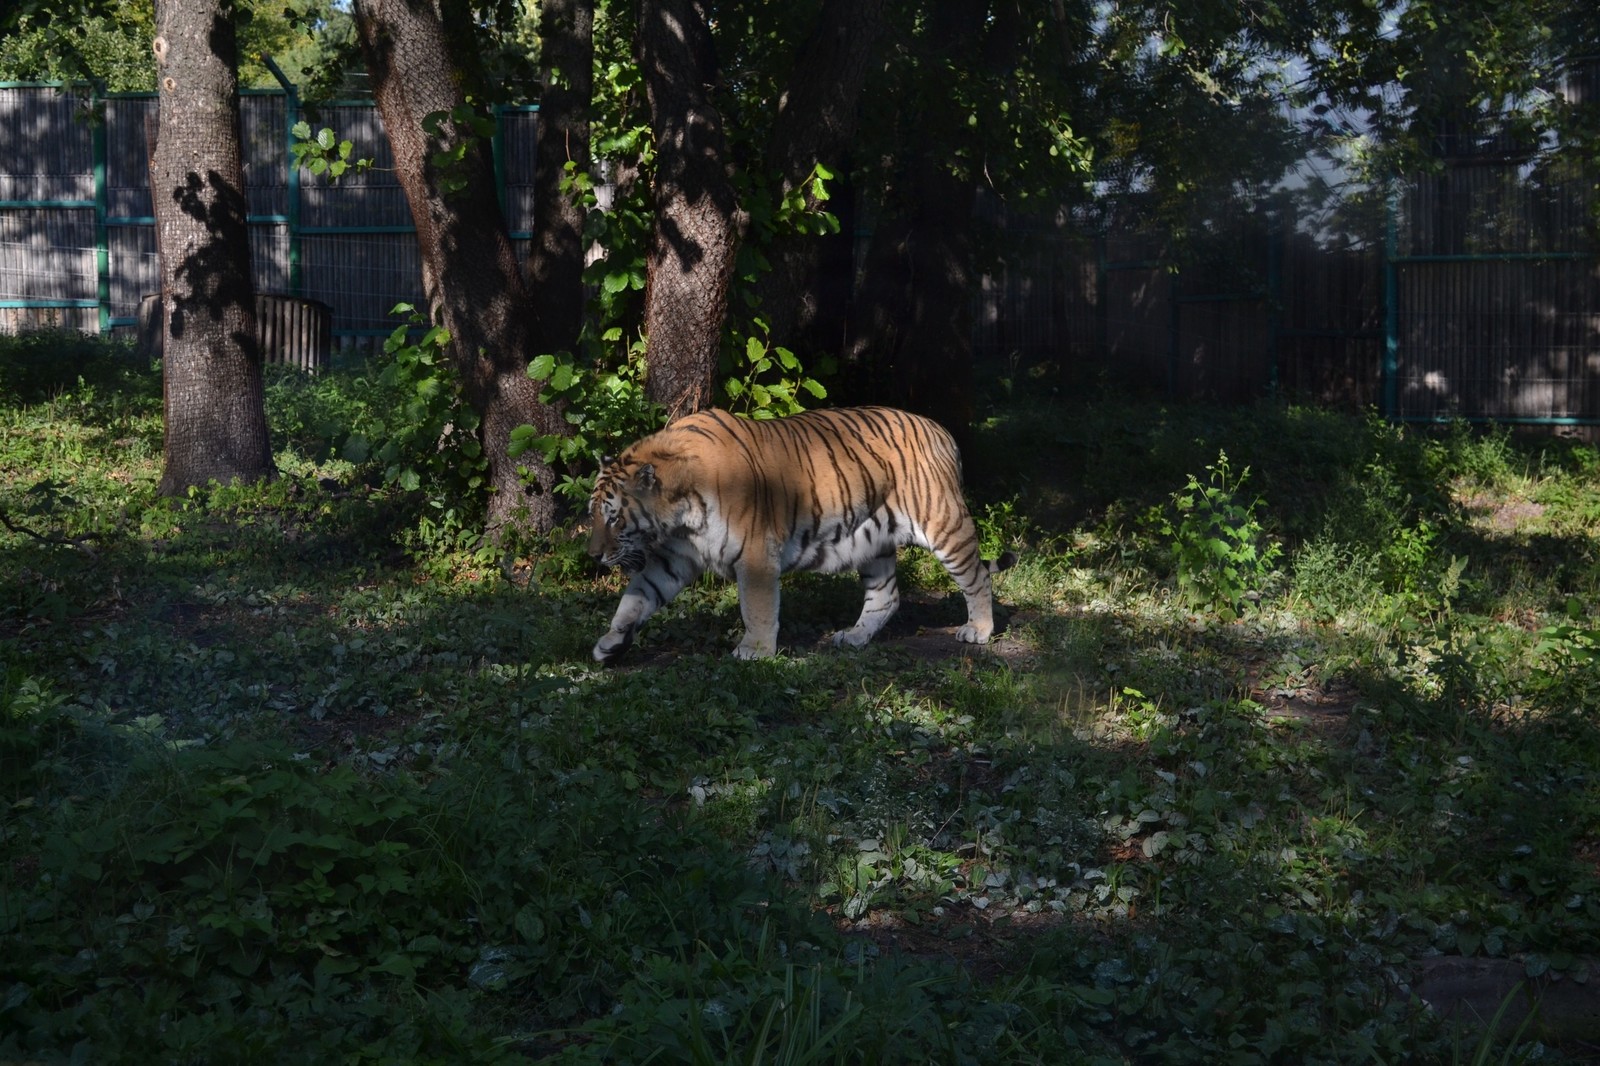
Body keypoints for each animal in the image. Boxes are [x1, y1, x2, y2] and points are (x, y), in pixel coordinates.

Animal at [585, 404, 1011, 659]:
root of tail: (941, 430)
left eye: (614, 518)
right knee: (885, 597)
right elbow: (636, 598)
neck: (679, 516)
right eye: (594, 515)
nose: (593, 555)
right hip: (873, 541)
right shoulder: (673, 558)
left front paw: (755, 651)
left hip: (944, 524)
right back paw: (853, 637)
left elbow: (756, 606)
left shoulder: (755, 554)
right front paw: (610, 642)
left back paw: (978, 630)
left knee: (977, 577)